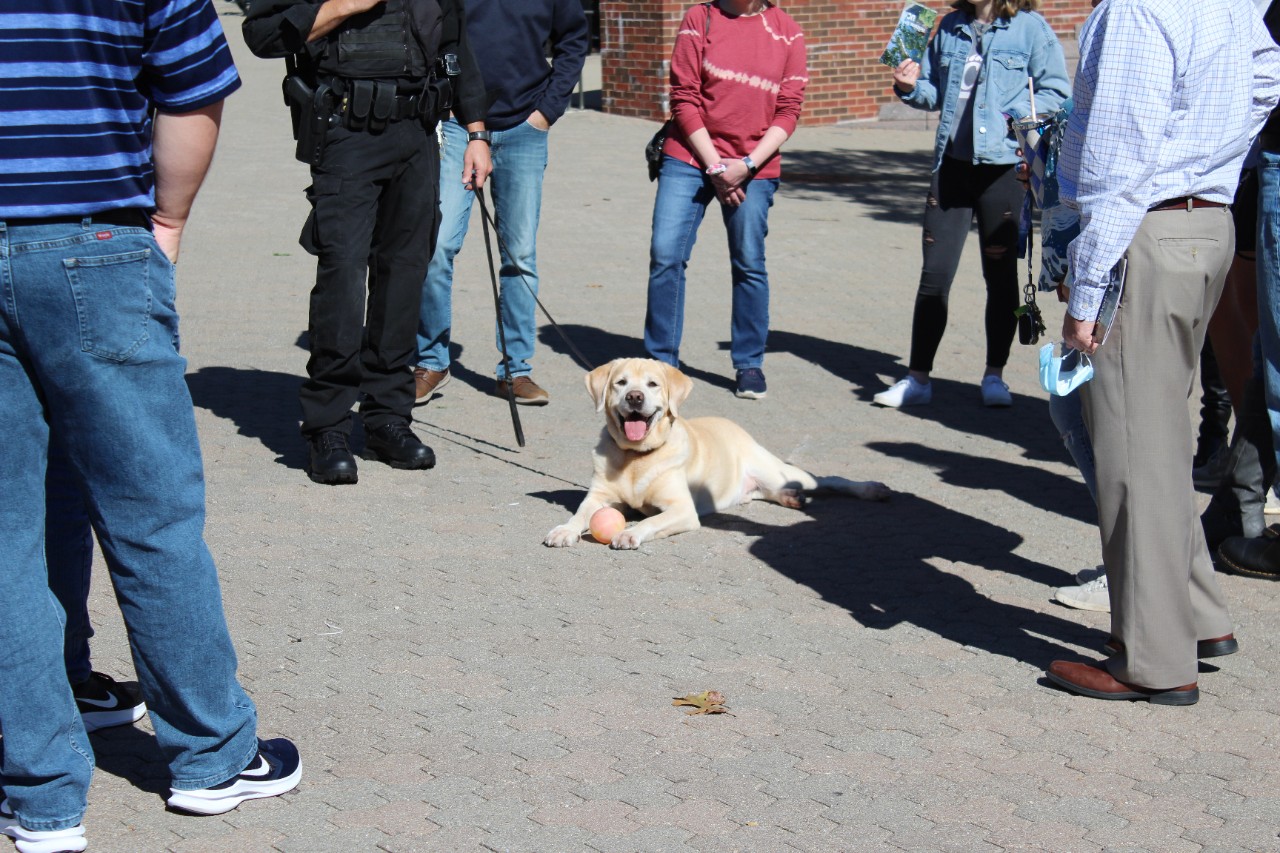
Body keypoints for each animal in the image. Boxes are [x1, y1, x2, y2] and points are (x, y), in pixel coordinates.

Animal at [545, 356, 896, 548]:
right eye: (620, 382)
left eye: (652, 384)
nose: (634, 397)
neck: (635, 458)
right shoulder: (599, 496)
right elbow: (580, 514)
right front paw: (564, 530)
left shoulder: (682, 509)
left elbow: (651, 521)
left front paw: (631, 534)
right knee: (767, 493)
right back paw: (791, 498)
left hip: (777, 469)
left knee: (829, 479)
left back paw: (871, 489)